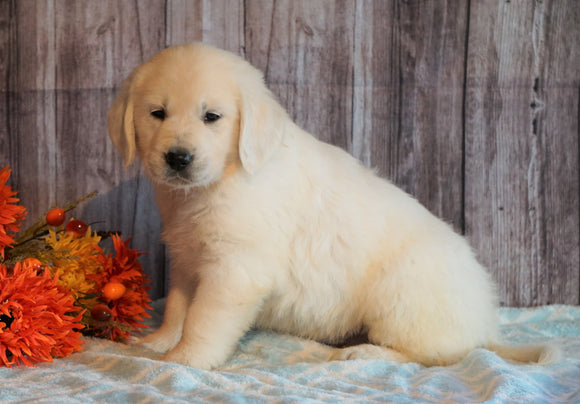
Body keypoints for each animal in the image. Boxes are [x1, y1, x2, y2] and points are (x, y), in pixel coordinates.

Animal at [109, 42, 556, 368]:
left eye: (212, 117)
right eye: (157, 113)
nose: (178, 158)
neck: (222, 178)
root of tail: (487, 325)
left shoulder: (234, 270)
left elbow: (202, 320)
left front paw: (186, 359)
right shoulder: (188, 258)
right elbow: (179, 308)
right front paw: (158, 342)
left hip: (402, 298)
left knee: (437, 354)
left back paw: (364, 351)